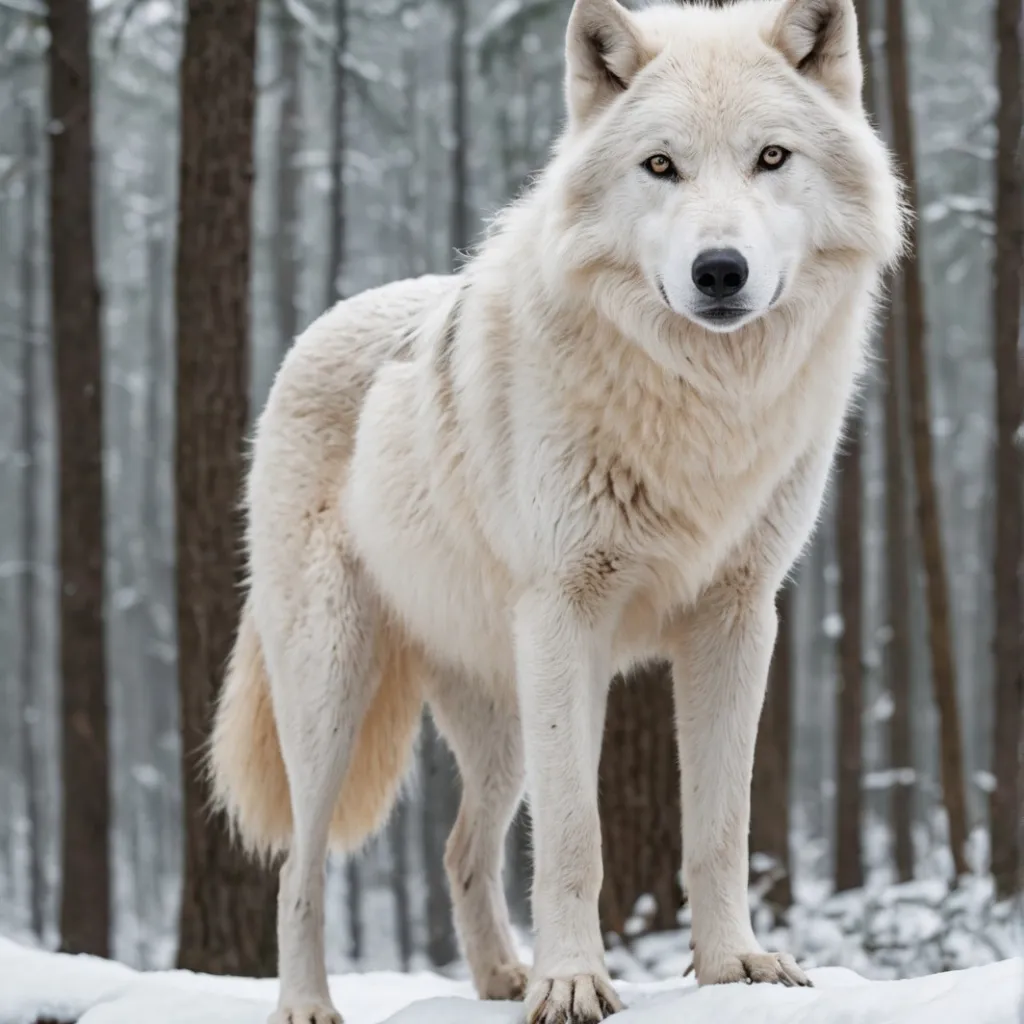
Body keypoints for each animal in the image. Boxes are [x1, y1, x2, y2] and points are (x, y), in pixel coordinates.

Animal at [209, 0, 903, 1020]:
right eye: (660, 166)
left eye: (772, 157)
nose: (720, 270)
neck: (697, 408)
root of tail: (315, 328)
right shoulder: (564, 613)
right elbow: (576, 833)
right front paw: (572, 982)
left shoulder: (738, 618)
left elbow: (721, 825)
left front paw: (733, 966)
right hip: (335, 689)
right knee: (301, 866)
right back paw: (309, 1004)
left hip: (499, 715)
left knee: (461, 847)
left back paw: (500, 978)